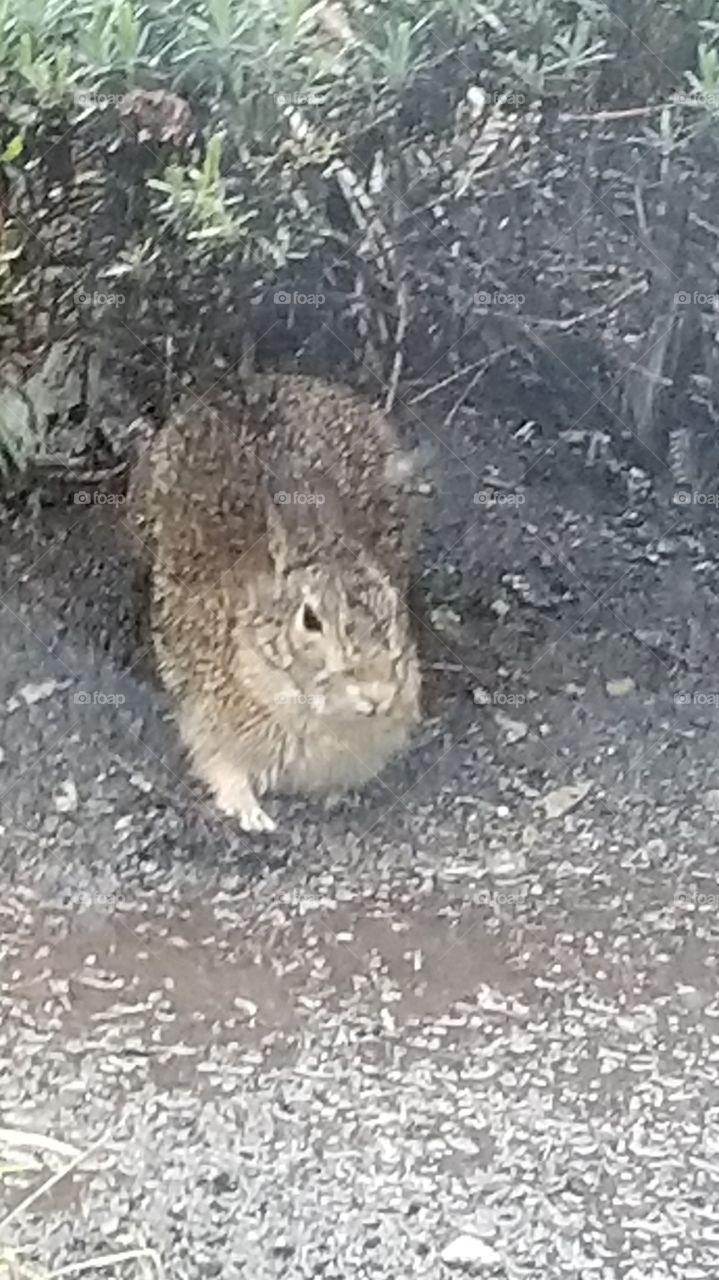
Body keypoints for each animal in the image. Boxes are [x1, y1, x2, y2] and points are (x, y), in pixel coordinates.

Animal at [126, 373, 422, 829]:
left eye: (392, 604)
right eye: (311, 620)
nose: (377, 694)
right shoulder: (209, 726)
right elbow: (223, 772)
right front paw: (253, 816)